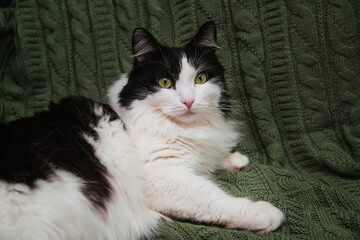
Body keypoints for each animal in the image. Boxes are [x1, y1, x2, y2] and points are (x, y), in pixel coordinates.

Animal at [0, 21, 284, 239]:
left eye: (200, 79)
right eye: (165, 82)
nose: (188, 101)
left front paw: (234, 159)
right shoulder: (159, 175)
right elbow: (212, 197)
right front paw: (263, 212)